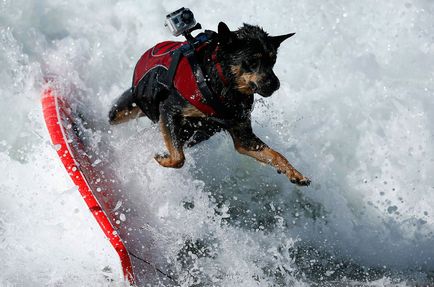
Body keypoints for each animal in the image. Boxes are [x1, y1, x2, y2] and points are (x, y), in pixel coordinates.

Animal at [109, 20, 312, 187]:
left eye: (273, 60)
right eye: (252, 61)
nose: (275, 84)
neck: (223, 84)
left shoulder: (243, 136)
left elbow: (275, 154)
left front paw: (294, 173)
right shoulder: (169, 110)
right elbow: (179, 158)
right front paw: (164, 159)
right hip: (127, 107)